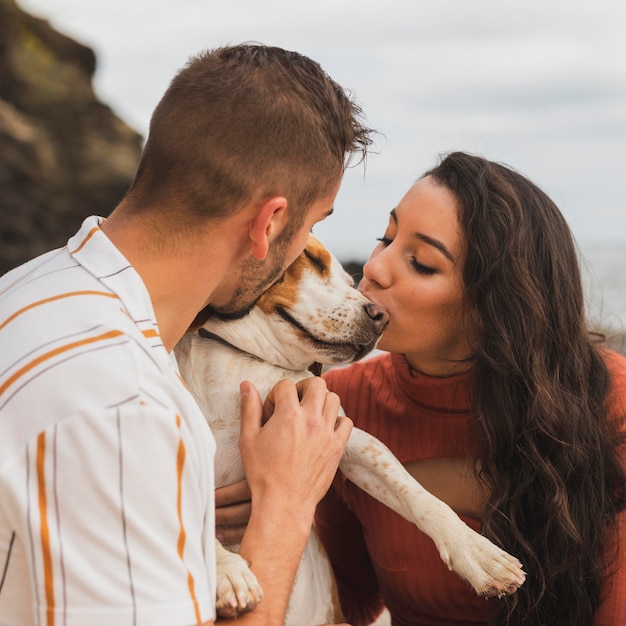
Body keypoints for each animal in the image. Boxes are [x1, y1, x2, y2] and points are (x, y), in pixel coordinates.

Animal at [173, 235, 524, 624]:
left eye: (349, 280)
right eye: (311, 259)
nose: (381, 316)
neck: (236, 362)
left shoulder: (352, 441)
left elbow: (420, 497)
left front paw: (477, 553)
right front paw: (226, 570)